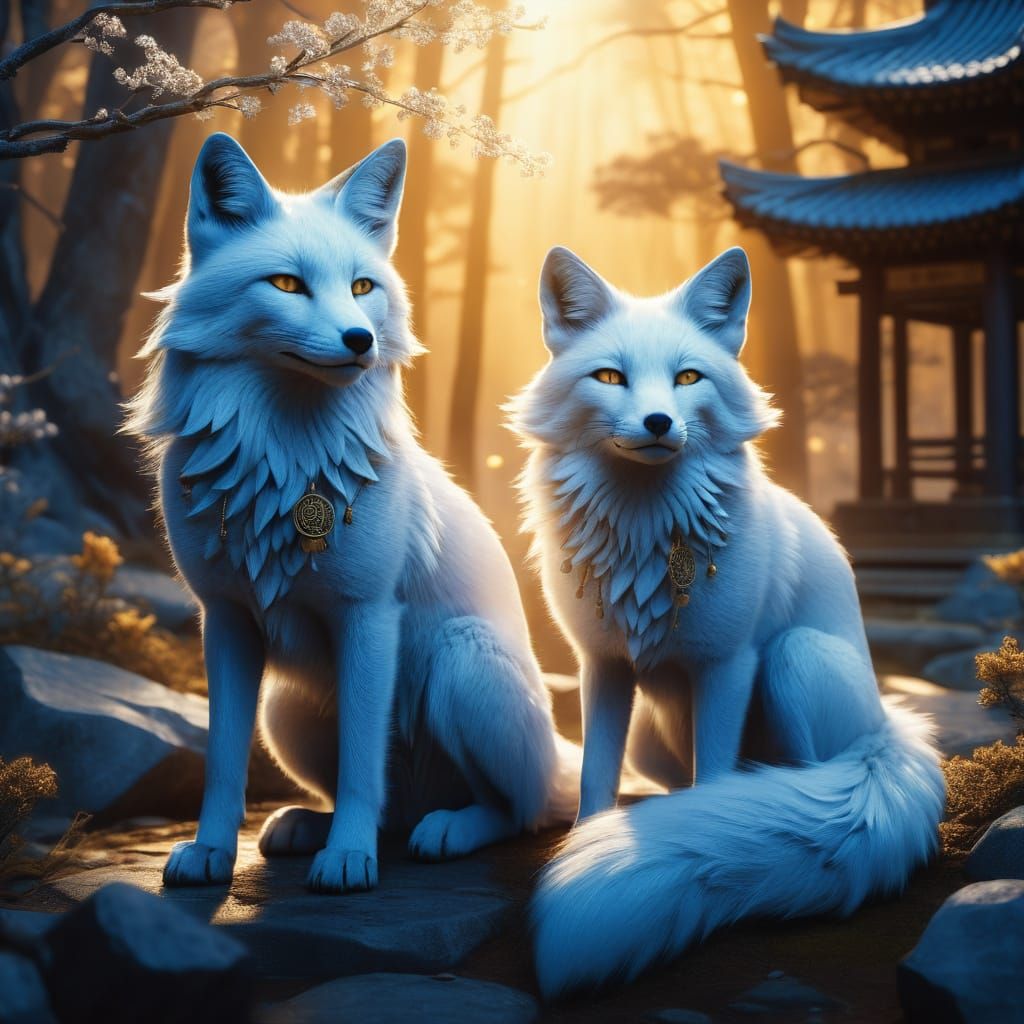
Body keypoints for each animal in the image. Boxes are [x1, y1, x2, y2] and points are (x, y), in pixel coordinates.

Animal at [126, 133, 574, 893]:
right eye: (286, 285)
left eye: (364, 287)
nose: (360, 339)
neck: (284, 459)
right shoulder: (227, 622)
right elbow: (222, 762)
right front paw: (211, 852)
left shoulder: (368, 618)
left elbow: (364, 766)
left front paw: (347, 860)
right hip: (285, 713)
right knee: (385, 804)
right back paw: (306, 824)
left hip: (462, 663)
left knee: (516, 811)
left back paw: (445, 830)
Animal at [509, 245, 945, 997]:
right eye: (610, 377)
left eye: (688, 377)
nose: (659, 422)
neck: (645, 537)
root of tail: (890, 724)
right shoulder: (603, 667)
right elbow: (595, 777)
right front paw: (583, 842)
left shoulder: (727, 666)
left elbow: (713, 783)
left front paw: (702, 829)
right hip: (652, 743)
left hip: (795, 661)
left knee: (796, 776)